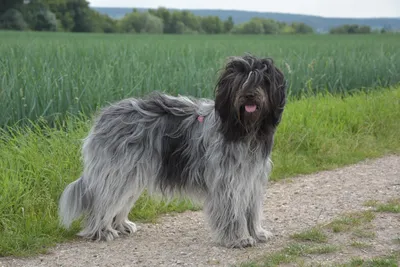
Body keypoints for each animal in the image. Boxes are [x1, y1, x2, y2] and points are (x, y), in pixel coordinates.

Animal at [57, 54, 286, 249]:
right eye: (241, 81)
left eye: (262, 81)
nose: (249, 95)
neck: (243, 130)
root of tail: (103, 116)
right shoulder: (227, 181)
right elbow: (232, 212)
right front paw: (238, 239)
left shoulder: (250, 179)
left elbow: (251, 211)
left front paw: (256, 233)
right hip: (117, 172)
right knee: (103, 202)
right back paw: (101, 231)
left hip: (131, 174)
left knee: (119, 201)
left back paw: (121, 225)